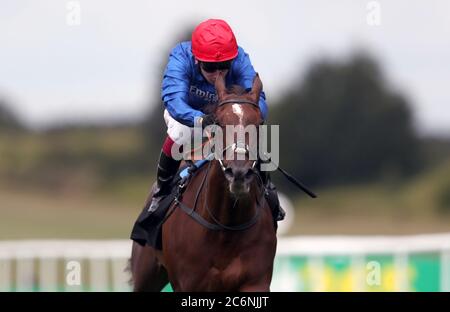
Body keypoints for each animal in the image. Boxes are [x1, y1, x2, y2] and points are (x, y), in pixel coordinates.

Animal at [130, 72, 276, 292]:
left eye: (259, 123)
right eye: (219, 122)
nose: (239, 173)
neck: (226, 226)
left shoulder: (255, 281)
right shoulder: (188, 283)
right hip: (146, 274)